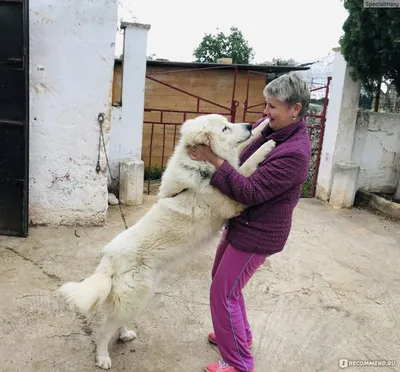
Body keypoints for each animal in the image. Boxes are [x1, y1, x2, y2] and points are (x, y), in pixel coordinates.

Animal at [57, 114, 274, 370]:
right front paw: (267, 147)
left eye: (230, 123)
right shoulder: (232, 199)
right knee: (104, 330)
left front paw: (264, 126)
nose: (248, 125)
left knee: (116, 321)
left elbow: (242, 153)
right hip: (136, 297)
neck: (200, 169)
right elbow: (248, 166)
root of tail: (109, 257)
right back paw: (103, 357)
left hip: (136, 299)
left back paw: (125, 334)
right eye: (224, 128)